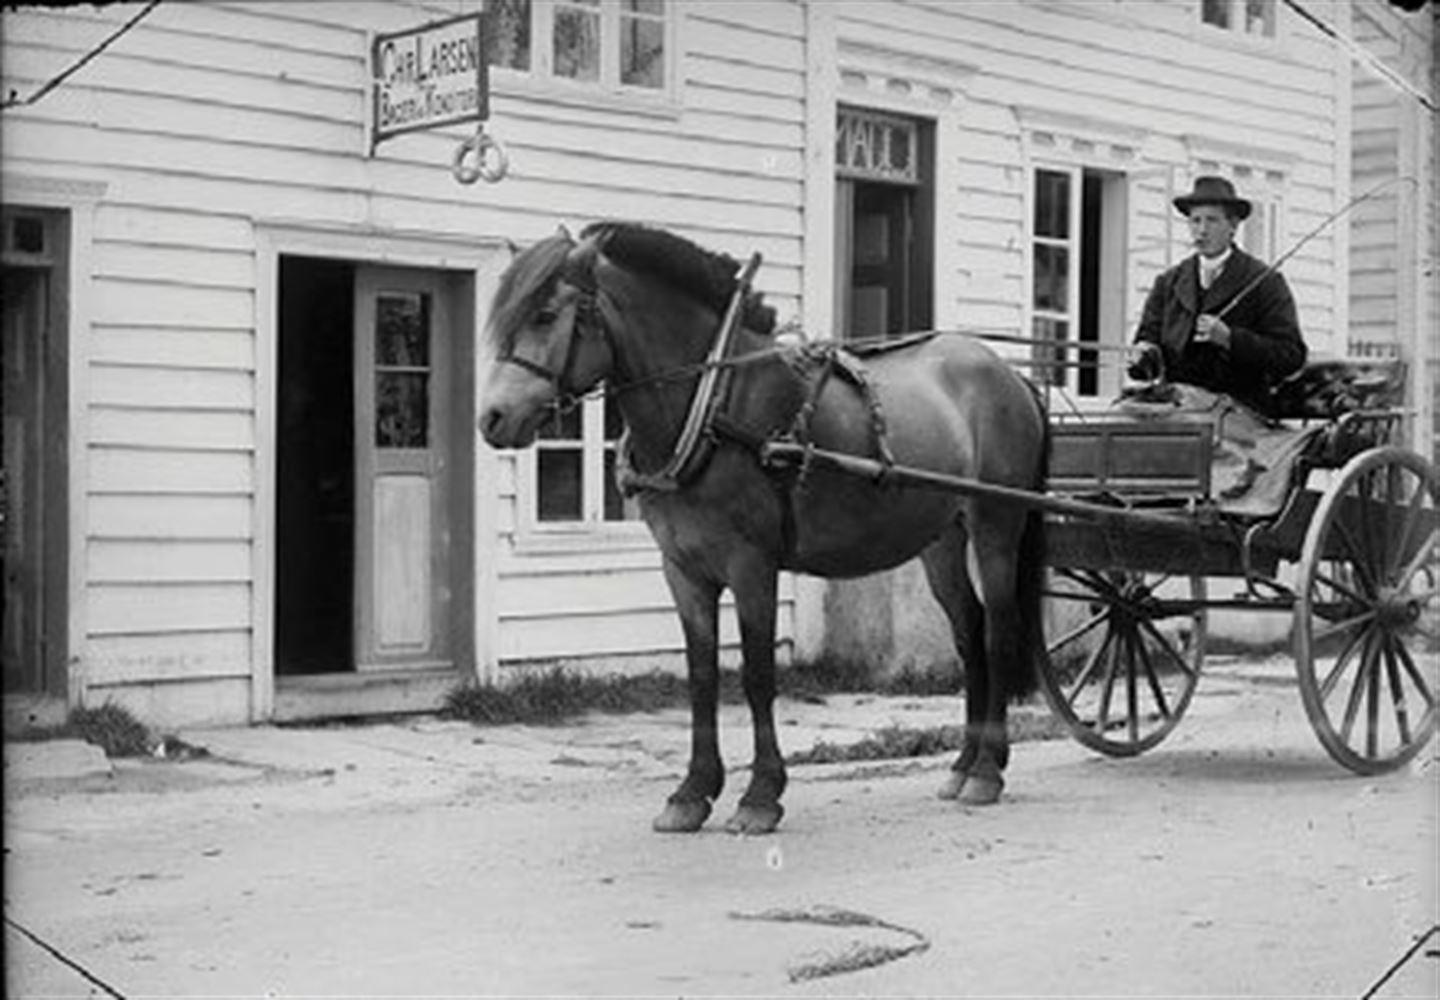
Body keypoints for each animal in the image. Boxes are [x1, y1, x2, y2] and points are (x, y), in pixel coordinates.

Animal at [478, 227, 1054, 835]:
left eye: (545, 314)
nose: (491, 418)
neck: (712, 404)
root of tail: (1011, 374)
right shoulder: (683, 570)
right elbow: (703, 675)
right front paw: (692, 792)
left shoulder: (752, 565)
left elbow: (756, 676)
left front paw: (761, 794)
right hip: (942, 540)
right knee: (969, 636)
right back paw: (965, 764)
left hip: (996, 527)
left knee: (998, 632)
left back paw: (988, 770)